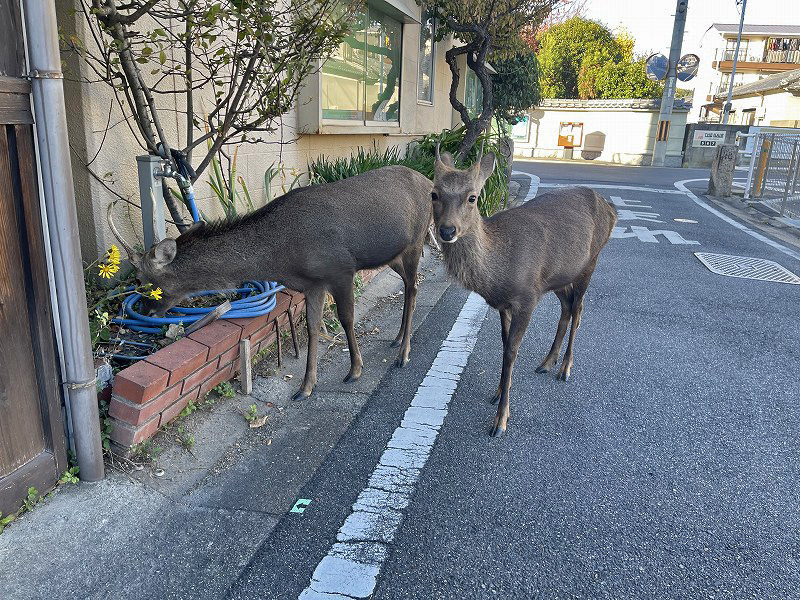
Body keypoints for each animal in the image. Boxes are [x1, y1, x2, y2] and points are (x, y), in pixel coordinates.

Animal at [108, 165, 433, 401]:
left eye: (145, 282)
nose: (146, 313)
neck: (284, 258)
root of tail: (429, 181)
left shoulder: (342, 270)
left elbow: (346, 319)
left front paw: (355, 370)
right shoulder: (314, 283)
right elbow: (312, 327)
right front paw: (305, 387)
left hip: (417, 240)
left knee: (414, 285)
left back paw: (404, 353)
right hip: (393, 253)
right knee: (410, 284)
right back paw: (397, 339)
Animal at [431, 146, 617, 437]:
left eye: (473, 197)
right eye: (434, 194)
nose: (447, 230)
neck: (498, 272)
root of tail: (611, 209)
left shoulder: (527, 297)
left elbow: (512, 351)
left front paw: (500, 420)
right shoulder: (505, 303)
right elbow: (504, 344)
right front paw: (498, 391)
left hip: (591, 260)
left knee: (578, 309)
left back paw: (565, 368)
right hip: (558, 277)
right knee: (567, 306)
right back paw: (547, 362)